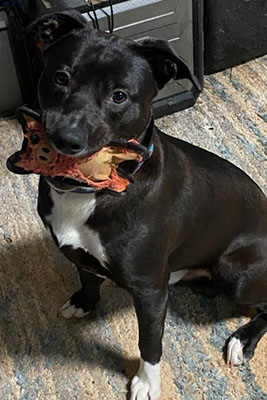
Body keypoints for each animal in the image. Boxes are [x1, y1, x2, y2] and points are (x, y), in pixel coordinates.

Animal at [23, 8, 267, 400]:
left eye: (120, 95)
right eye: (60, 77)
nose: (66, 138)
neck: (92, 191)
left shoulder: (151, 292)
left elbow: (150, 342)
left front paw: (147, 382)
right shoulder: (78, 252)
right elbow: (87, 276)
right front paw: (84, 303)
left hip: (237, 272)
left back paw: (242, 340)